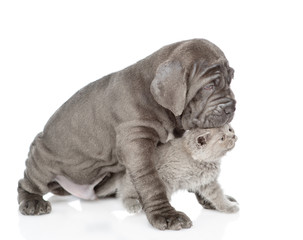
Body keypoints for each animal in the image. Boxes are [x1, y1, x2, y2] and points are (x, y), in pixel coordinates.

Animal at [18, 39, 238, 231]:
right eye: (209, 86)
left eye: (230, 80)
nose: (232, 107)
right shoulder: (136, 142)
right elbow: (151, 181)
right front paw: (166, 215)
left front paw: (212, 200)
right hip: (42, 162)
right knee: (28, 183)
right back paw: (33, 202)